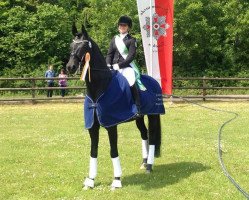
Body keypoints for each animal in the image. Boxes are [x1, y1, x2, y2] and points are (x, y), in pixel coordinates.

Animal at [66, 24, 163, 190]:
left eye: (84, 46)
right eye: (71, 46)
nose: (70, 67)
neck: (100, 88)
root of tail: (154, 81)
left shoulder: (111, 125)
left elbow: (113, 151)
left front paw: (116, 180)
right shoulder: (93, 126)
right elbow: (93, 151)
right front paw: (90, 181)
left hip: (153, 115)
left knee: (152, 138)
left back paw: (149, 166)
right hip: (139, 118)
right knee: (144, 134)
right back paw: (144, 162)